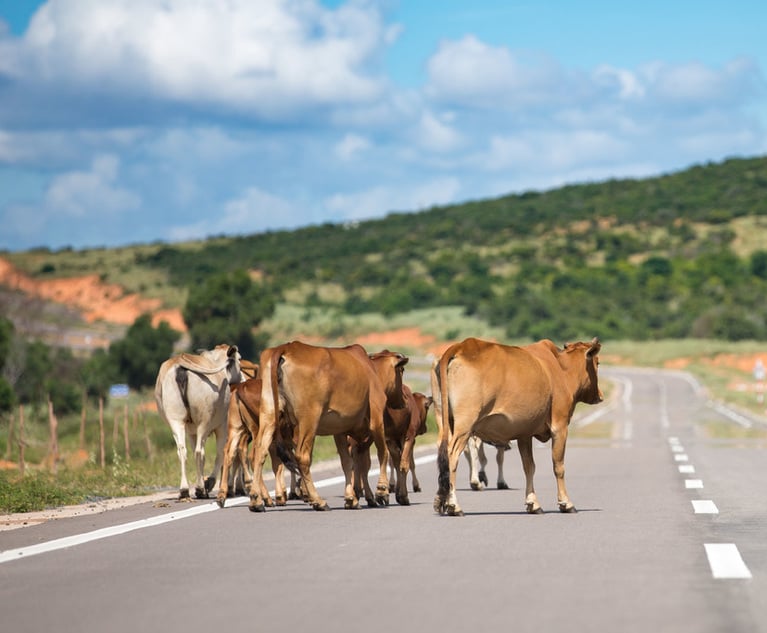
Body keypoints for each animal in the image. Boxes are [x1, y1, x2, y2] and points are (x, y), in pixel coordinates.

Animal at [154, 346, 242, 498]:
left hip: (176, 421)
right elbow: (220, 454)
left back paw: (184, 490)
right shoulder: (222, 426)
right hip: (203, 422)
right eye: (240, 359)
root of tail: (179, 364)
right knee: (199, 452)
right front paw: (209, 482)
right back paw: (201, 489)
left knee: (182, 451)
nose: (243, 378)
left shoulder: (191, 432)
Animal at [250, 340, 402, 508]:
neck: (371, 370)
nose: (402, 400)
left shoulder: (339, 430)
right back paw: (318, 501)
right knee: (302, 456)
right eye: (401, 370)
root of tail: (286, 348)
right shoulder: (376, 419)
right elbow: (383, 454)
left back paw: (256, 500)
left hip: (269, 414)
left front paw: (351, 499)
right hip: (309, 419)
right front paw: (382, 491)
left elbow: (347, 462)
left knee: (260, 451)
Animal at [432, 336, 600, 512]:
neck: (561, 368)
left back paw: (442, 500)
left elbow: (529, 467)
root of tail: (461, 346)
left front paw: (533, 503)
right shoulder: (560, 427)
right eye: (598, 362)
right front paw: (565, 503)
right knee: (452, 455)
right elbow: (558, 466)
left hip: (446, 420)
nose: (599, 396)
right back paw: (454, 505)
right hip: (465, 425)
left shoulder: (524, 433)